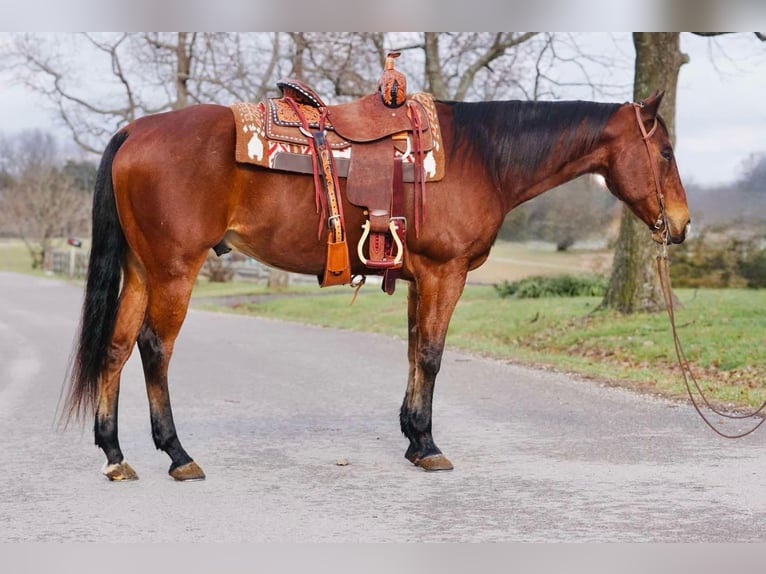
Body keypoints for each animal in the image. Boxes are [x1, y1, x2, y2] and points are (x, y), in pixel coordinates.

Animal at [65, 90, 690, 481]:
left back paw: (115, 455)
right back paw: (177, 454)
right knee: (154, 349)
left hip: (141, 271)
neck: (481, 157)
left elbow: (414, 352)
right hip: (174, 270)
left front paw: (413, 439)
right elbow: (433, 355)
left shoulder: (420, 279)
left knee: (115, 348)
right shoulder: (444, 273)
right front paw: (430, 446)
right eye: (665, 151)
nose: (681, 225)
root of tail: (134, 130)